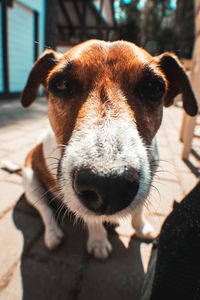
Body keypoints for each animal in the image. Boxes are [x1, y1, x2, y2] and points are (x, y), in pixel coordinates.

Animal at [20, 39, 198, 260]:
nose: (108, 186)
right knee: (45, 211)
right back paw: (53, 234)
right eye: (61, 84)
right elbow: (91, 219)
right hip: (30, 182)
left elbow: (139, 209)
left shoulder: (151, 174)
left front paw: (141, 228)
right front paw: (98, 241)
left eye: (152, 87)